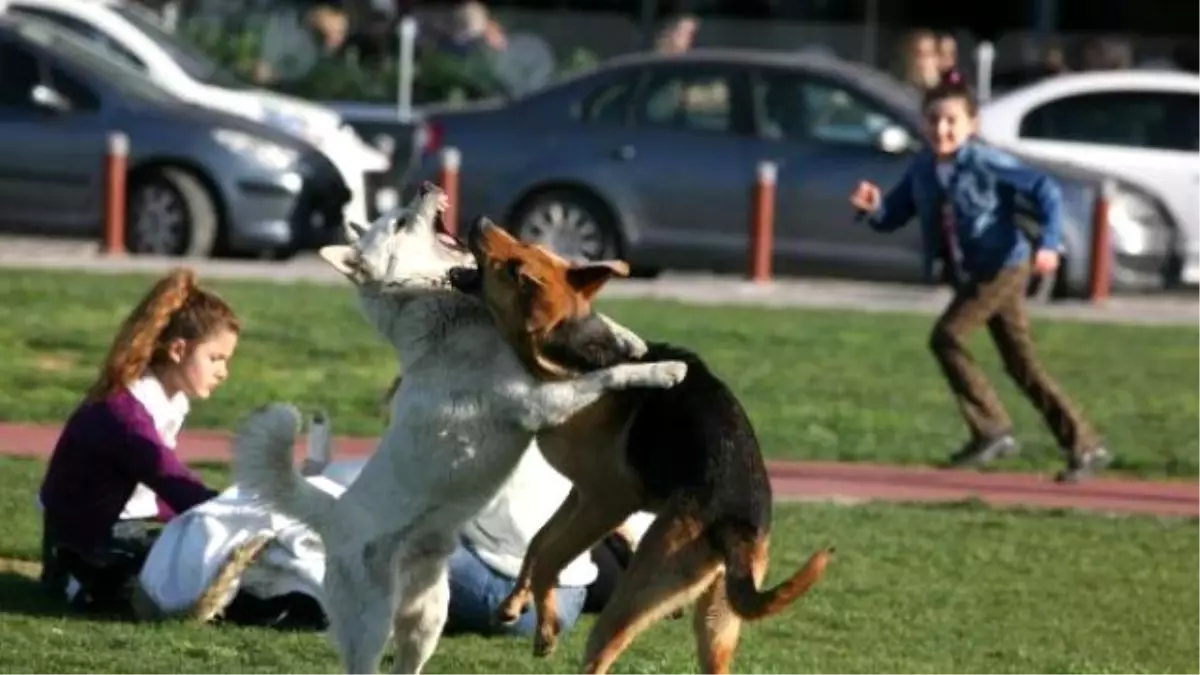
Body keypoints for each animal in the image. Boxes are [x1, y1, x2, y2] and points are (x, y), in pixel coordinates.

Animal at [231, 184, 686, 672]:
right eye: (399, 222)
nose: (427, 187)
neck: (444, 313)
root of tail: (333, 515)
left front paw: (630, 340)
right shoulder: (540, 402)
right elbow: (605, 376)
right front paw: (663, 371)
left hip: (428, 616)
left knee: (409, 659)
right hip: (371, 624)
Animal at [451, 219, 835, 672]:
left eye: (517, 268)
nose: (480, 223)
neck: (572, 357)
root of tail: (735, 524)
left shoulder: (607, 500)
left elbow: (548, 560)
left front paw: (546, 627)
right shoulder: (580, 495)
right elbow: (538, 543)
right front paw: (516, 603)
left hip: (638, 590)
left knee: (600, 652)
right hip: (717, 619)